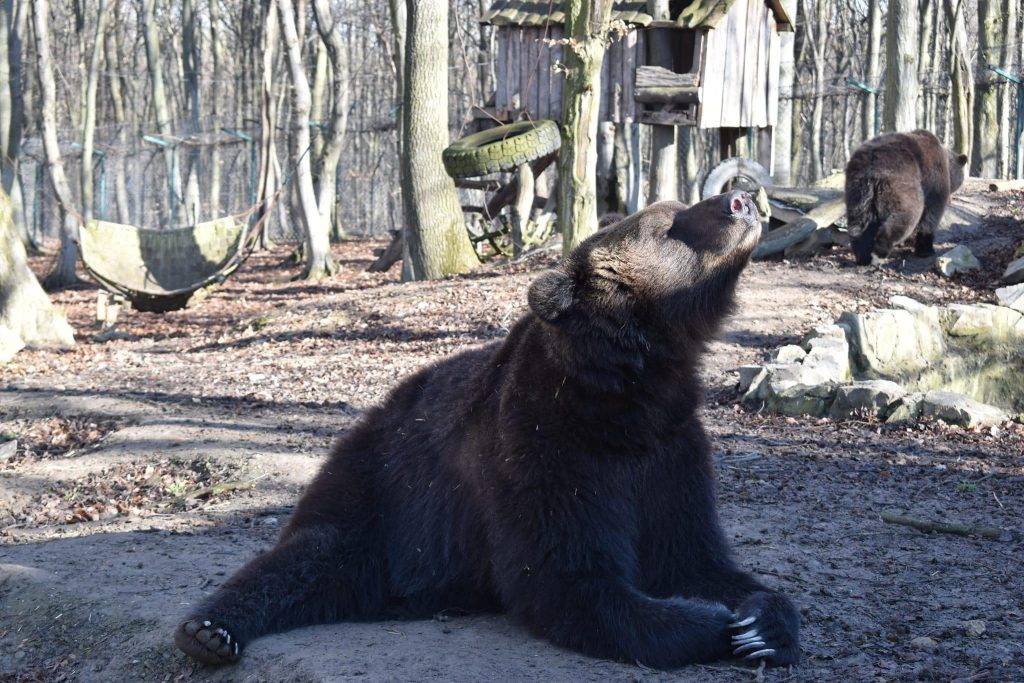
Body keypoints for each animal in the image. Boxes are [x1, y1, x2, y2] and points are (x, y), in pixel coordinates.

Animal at [174, 194, 798, 671]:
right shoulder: (546, 444)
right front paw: (712, 624)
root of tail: (367, 415)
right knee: (307, 559)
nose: (741, 197)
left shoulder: (669, 447)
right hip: (379, 490)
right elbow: (569, 578)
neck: (625, 394)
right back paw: (209, 631)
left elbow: (695, 555)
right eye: (667, 222)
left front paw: (760, 624)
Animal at [847, 129, 966, 266]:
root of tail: (872, 165)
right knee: (906, 214)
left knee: (859, 222)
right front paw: (926, 250)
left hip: (858, 189)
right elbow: (931, 214)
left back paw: (862, 256)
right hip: (901, 179)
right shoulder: (935, 181)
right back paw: (879, 253)